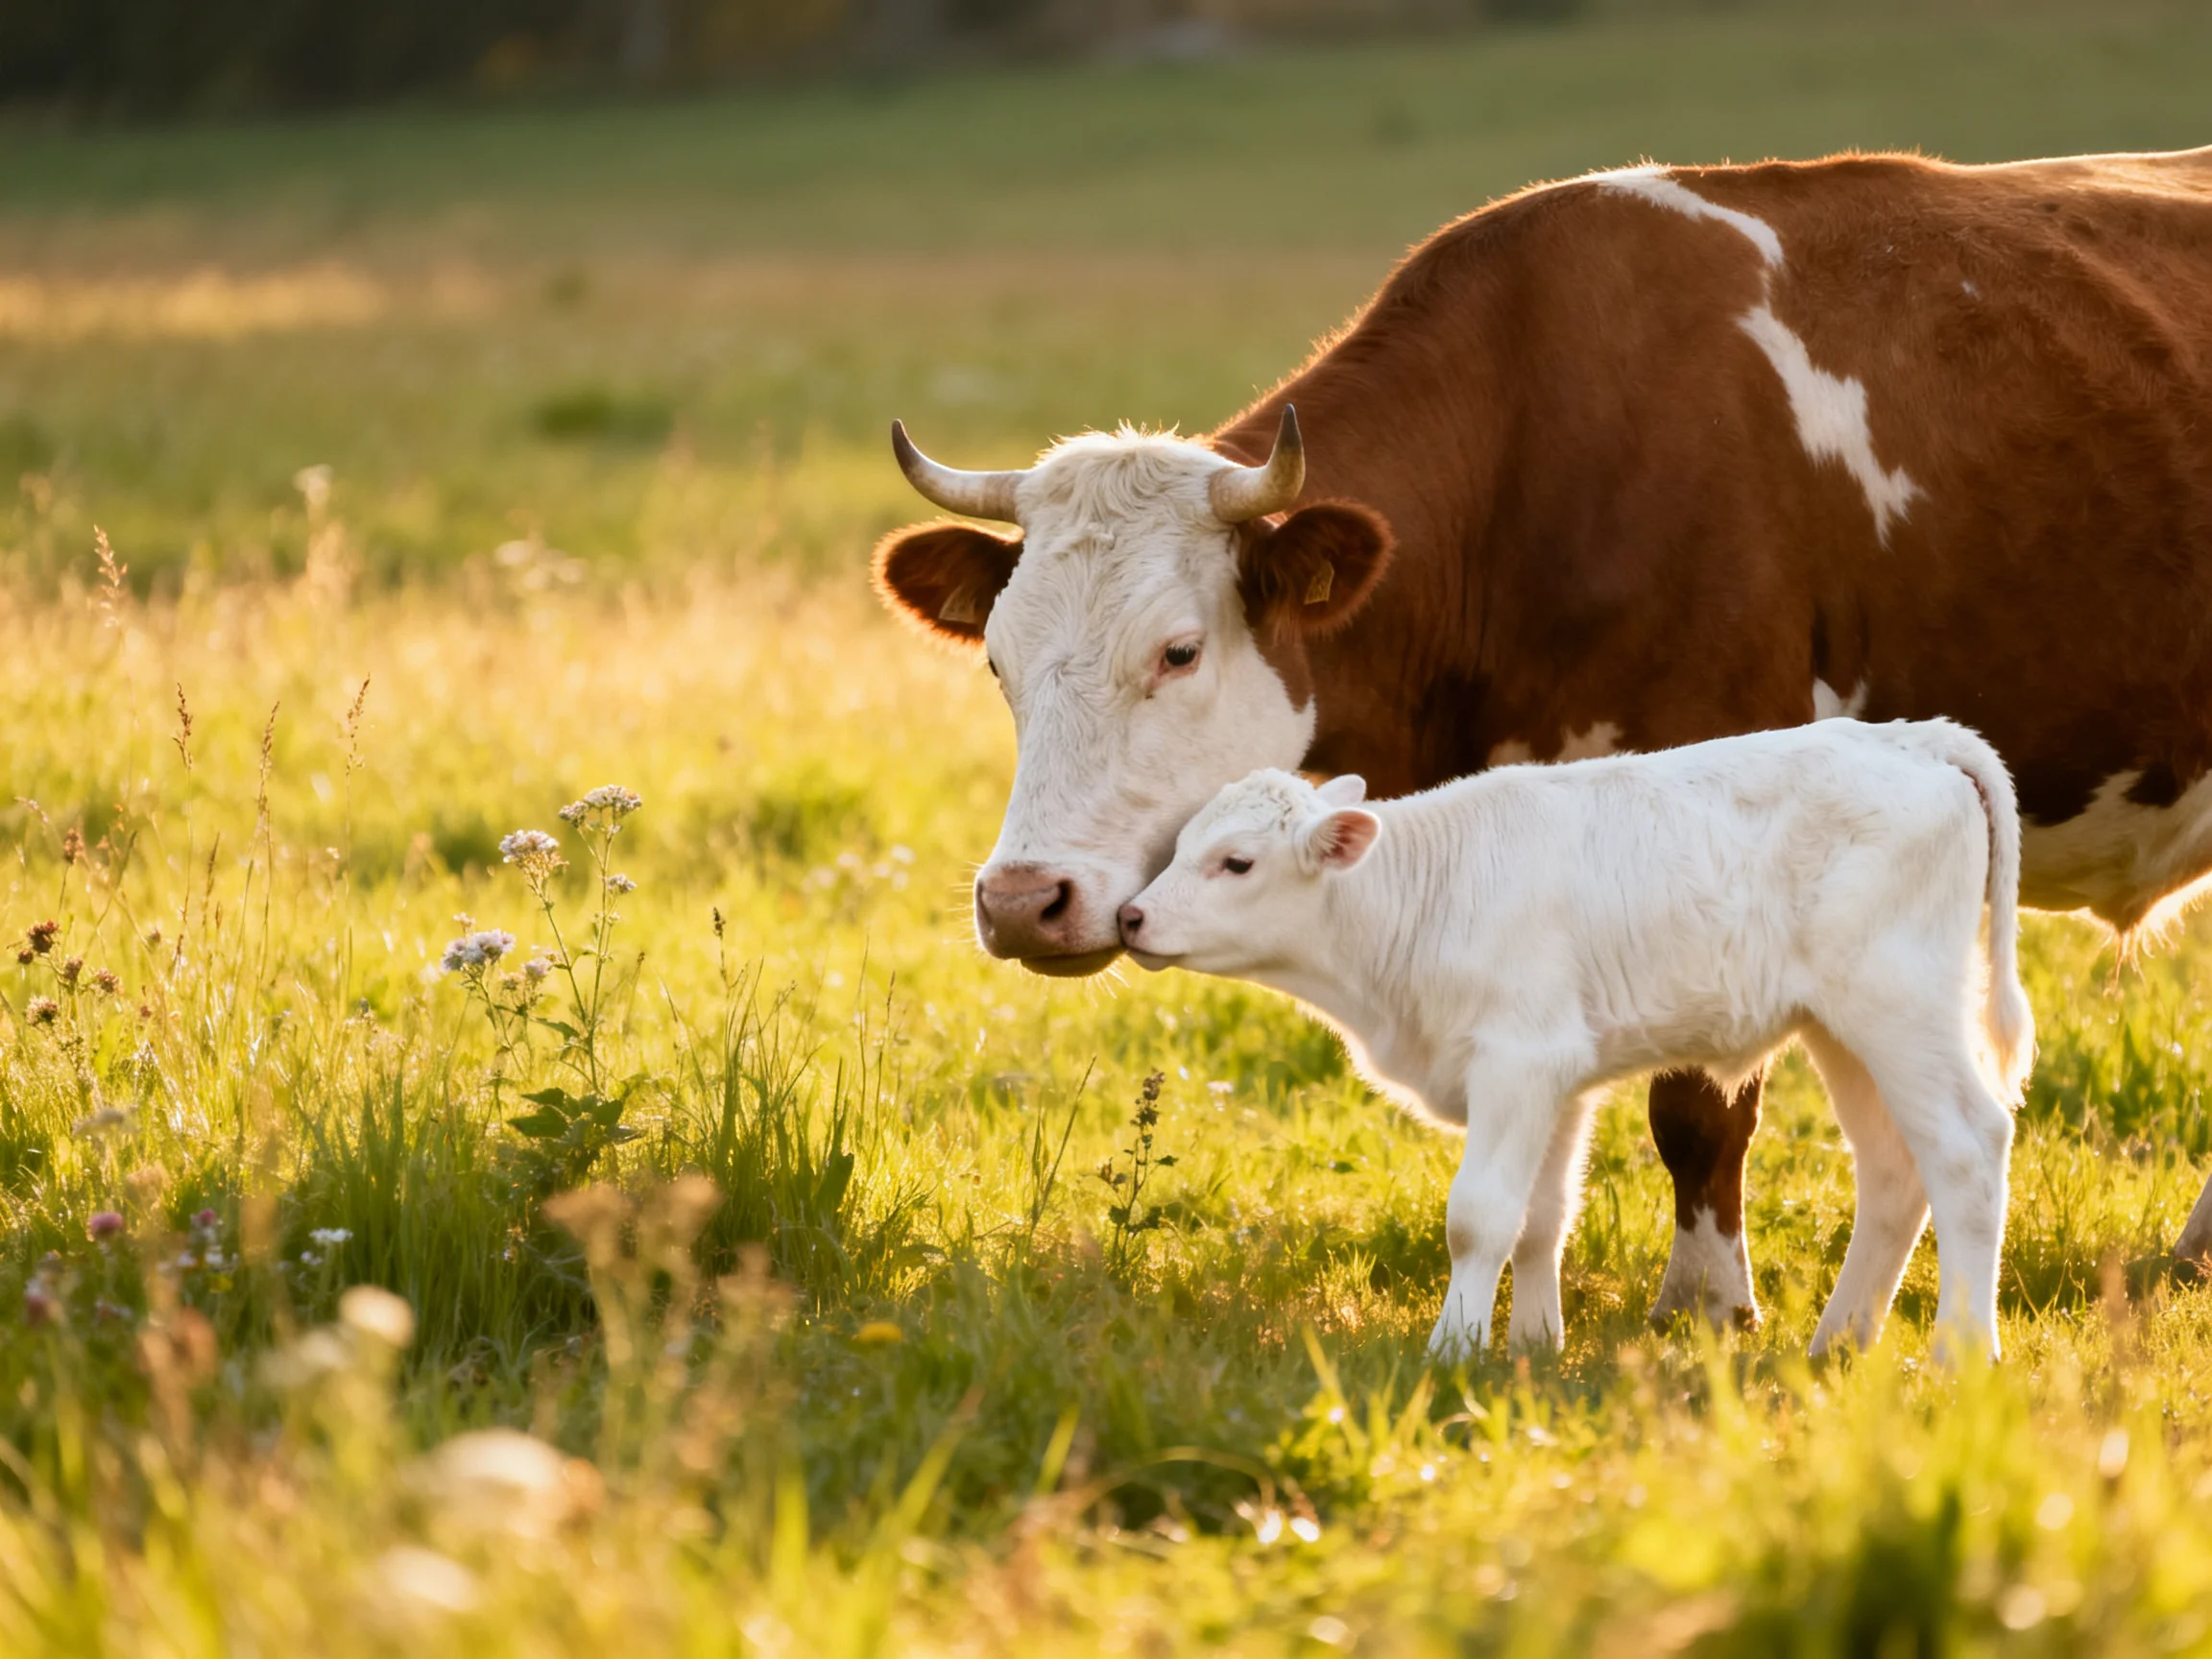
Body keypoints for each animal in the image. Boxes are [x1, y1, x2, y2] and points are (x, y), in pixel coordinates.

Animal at [1116, 720, 2032, 1361]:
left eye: (1236, 863)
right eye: (1182, 845)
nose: (1132, 916)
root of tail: (1916, 737)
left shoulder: (1518, 1063)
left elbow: (1480, 1215)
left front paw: (1452, 1350)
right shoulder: (1558, 1076)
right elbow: (1542, 1215)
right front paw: (1532, 1345)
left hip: (1900, 1007)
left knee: (1966, 1149)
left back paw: (1962, 1352)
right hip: (1843, 1031)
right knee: (1893, 1171)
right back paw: (1837, 1342)